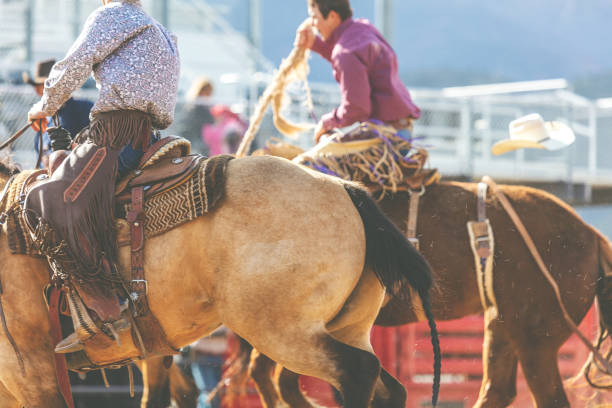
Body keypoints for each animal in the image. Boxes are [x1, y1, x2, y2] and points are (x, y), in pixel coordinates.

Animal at [0, 155, 440, 406]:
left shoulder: (29, 370)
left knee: (357, 372)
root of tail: (347, 190)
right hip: (348, 326)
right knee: (389, 389)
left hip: (282, 331)